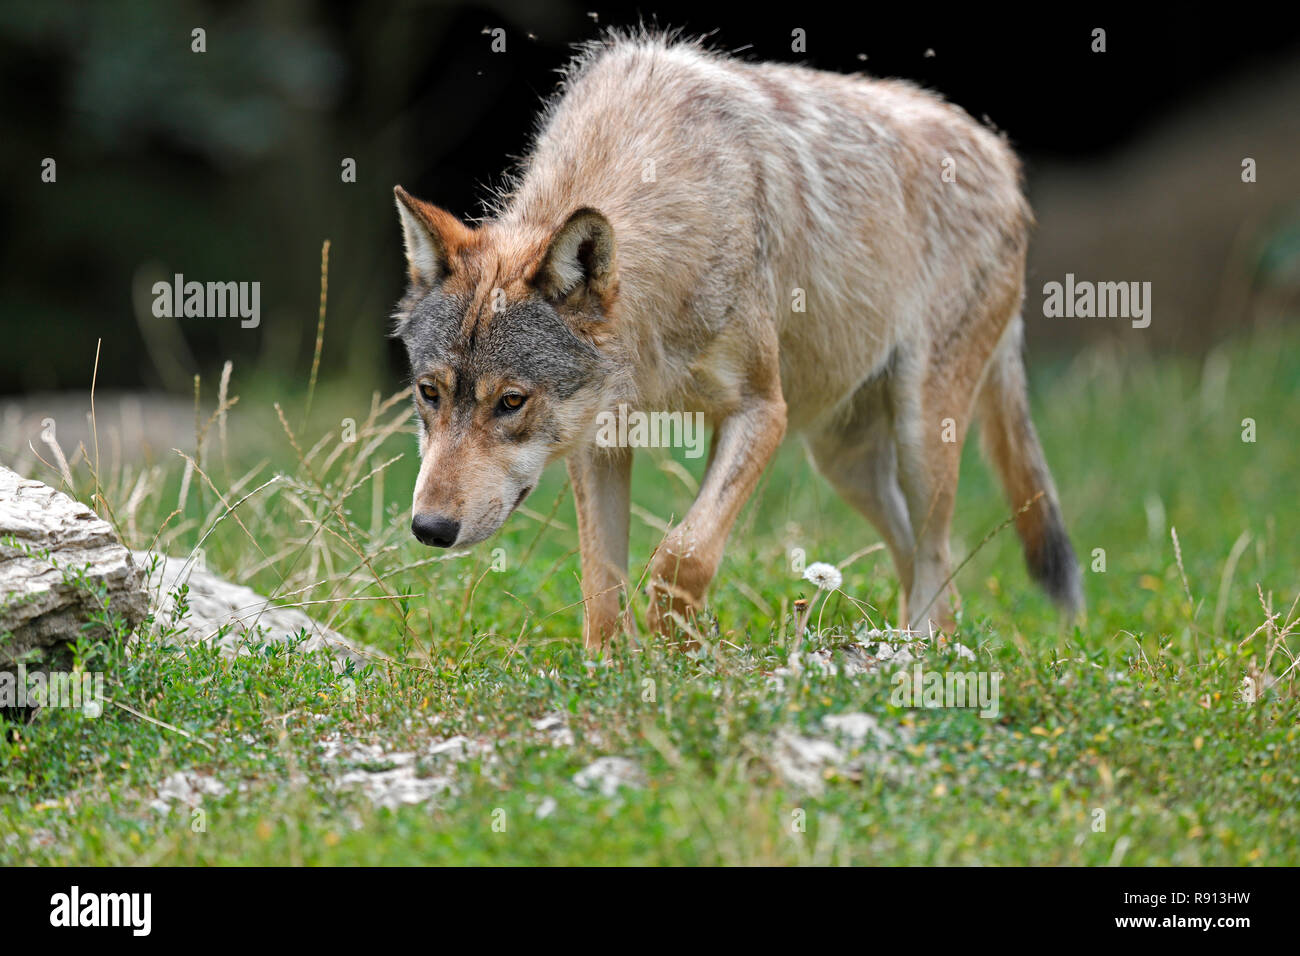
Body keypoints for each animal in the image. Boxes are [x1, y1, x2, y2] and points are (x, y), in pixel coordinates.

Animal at [390, 30, 1083, 650]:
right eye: (429, 393)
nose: (429, 528)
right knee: (923, 563)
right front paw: (612, 670)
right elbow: (601, 585)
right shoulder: (600, 439)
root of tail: (1000, 155)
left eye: (511, 402)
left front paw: (678, 646)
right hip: (845, 461)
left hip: (921, 438)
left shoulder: (761, 412)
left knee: (938, 559)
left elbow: (683, 554)